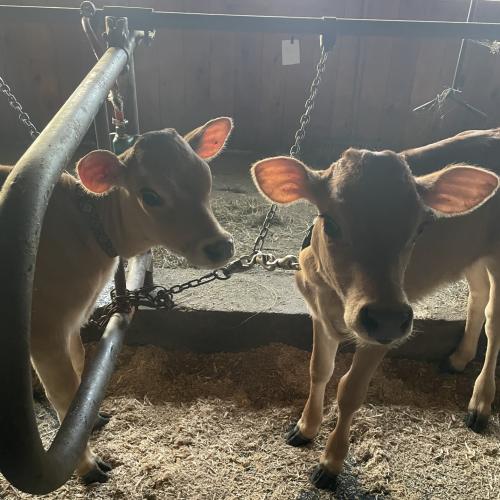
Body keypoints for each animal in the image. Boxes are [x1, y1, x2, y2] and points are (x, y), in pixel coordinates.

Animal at [0, 116, 234, 484]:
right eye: (150, 195)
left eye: (205, 177)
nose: (221, 246)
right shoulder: (44, 331)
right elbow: (64, 394)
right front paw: (87, 465)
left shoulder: (72, 322)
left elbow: (80, 377)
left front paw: (92, 419)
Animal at [254, 146, 500, 490]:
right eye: (331, 223)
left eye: (419, 229)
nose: (385, 317)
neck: (337, 299)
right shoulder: (318, 313)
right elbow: (318, 370)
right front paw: (304, 428)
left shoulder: (382, 336)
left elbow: (349, 392)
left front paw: (330, 464)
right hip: (471, 256)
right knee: (478, 295)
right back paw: (458, 358)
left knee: (494, 321)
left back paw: (480, 405)